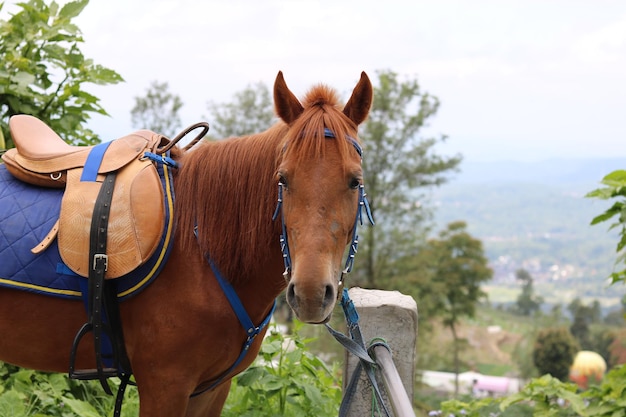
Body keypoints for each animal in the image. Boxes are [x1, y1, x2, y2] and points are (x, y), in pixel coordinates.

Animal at [0, 70, 370, 414]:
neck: (200, 251)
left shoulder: (210, 389)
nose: (310, 293)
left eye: (355, 181)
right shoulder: (166, 384)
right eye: (283, 178)